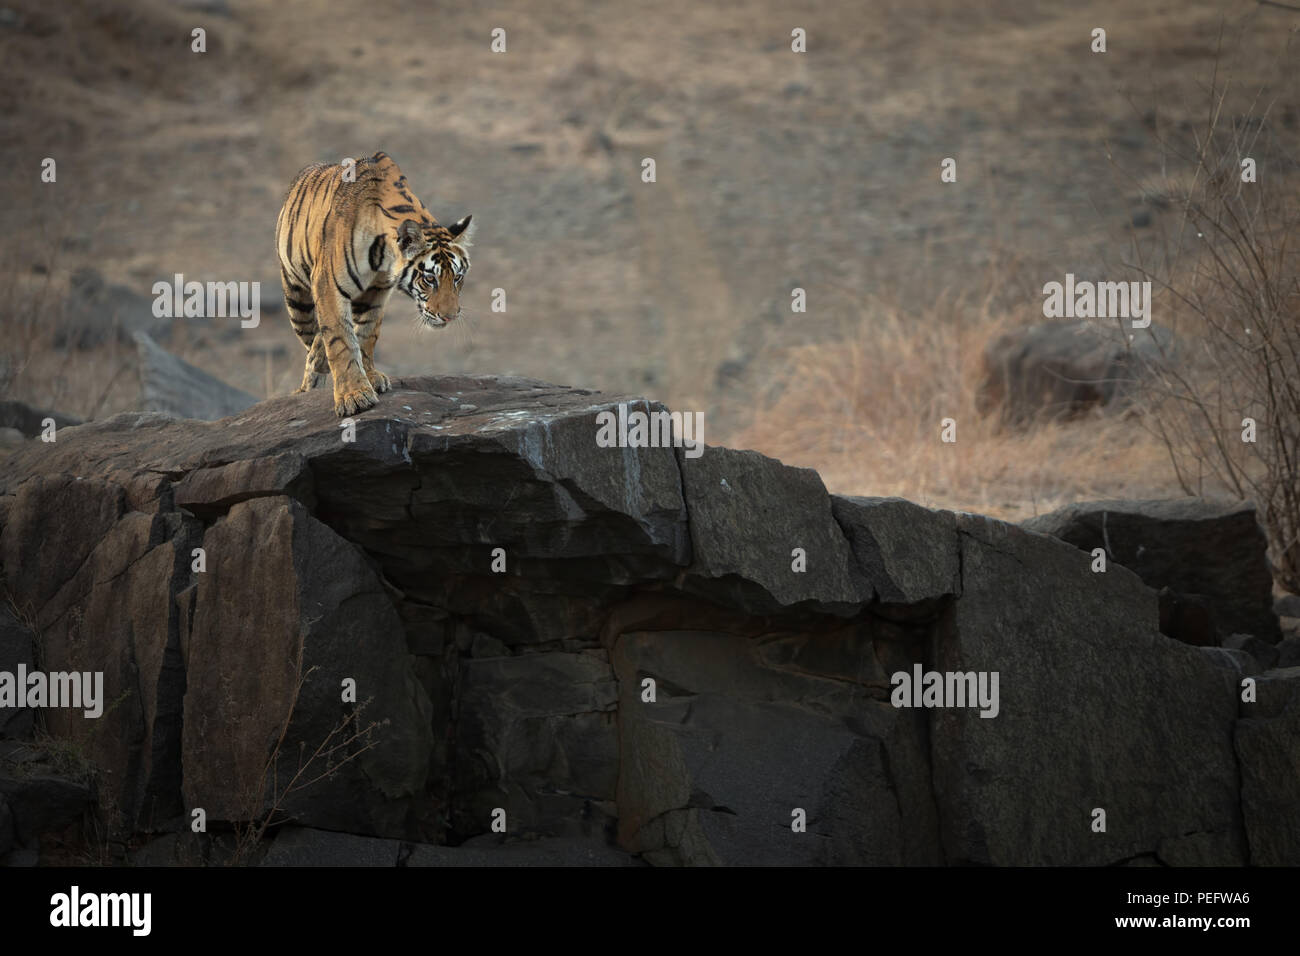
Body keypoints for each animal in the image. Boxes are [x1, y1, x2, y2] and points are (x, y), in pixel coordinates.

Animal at [273, 152, 473, 416]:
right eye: (430, 279)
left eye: (458, 278)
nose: (450, 316)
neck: (382, 256)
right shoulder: (328, 286)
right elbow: (341, 340)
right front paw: (354, 396)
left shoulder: (376, 292)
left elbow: (366, 334)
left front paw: (370, 377)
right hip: (297, 300)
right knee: (310, 339)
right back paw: (309, 381)